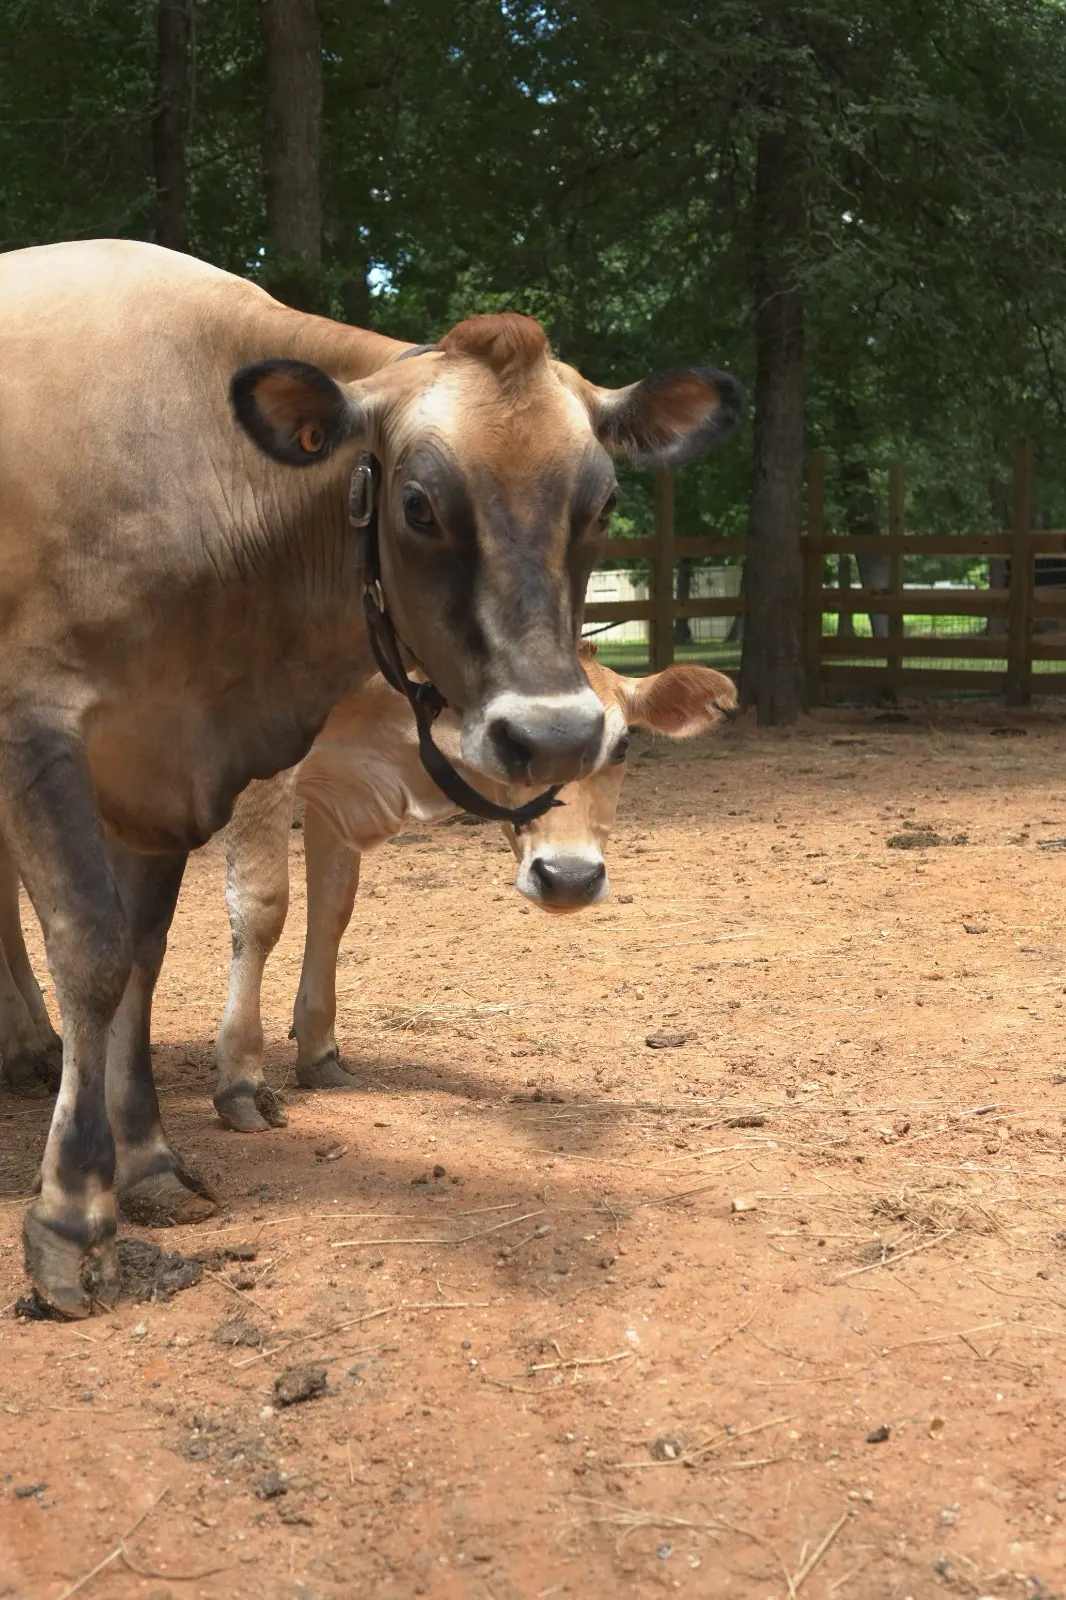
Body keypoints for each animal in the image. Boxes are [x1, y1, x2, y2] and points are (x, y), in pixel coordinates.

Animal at [214, 650, 737, 1132]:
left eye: (623, 746)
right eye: (513, 744)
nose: (570, 877)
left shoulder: (338, 793)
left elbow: (332, 909)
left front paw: (319, 1054)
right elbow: (264, 909)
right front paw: (241, 1080)